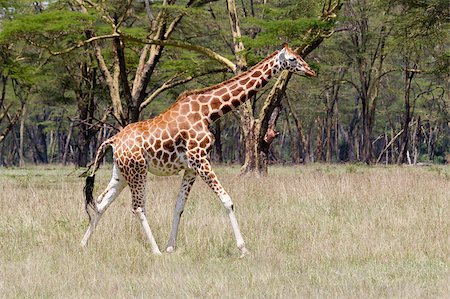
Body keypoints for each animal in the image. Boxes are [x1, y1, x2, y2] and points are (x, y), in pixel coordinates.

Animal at [81, 43, 314, 256]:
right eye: (292, 59)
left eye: (299, 56)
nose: (311, 71)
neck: (209, 112)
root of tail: (113, 140)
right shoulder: (201, 159)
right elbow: (227, 201)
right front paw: (243, 249)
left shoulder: (191, 167)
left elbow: (179, 206)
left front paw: (171, 247)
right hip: (138, 170)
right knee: (137, 207)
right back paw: (155, 251)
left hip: (121, 172)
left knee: (101, 202)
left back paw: (83, 244)